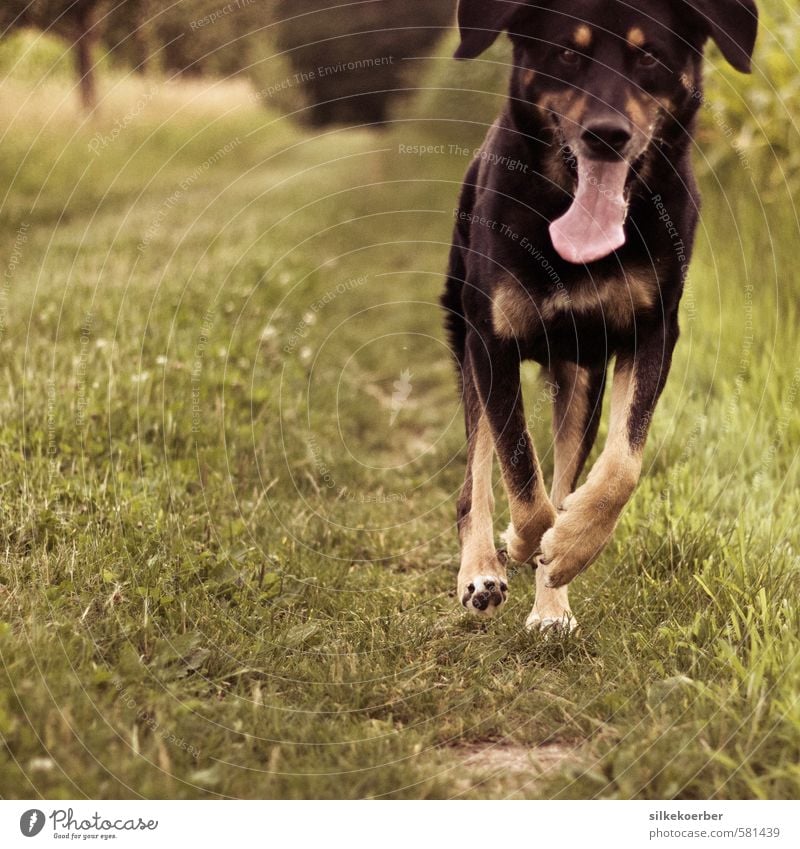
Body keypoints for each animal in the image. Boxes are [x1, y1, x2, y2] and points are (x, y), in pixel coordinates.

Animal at [440, 0, 760, 628]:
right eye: (568, 52)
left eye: (649, 56)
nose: (607, 135)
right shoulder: (492, 341)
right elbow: (519, 465)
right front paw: (522, 542)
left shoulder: (652, 331)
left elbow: (618, 467)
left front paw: (569, 549)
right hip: (467, 340)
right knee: (477, 478)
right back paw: (483, 568)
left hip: (579, 378)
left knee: (567, 470)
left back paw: (551, 604)